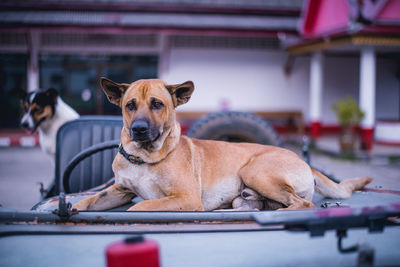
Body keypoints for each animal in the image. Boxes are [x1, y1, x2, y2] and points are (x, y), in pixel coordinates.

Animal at [72, 78, 372, 213]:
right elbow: (88, 201)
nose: (139, 130)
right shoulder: (119, 192)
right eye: (130, 106)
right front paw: (71, 210)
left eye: (157, 104)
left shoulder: (185, 198)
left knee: (303, 204)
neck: (144, 158)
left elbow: (139, 207)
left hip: (256, 171)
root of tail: (304, 161)